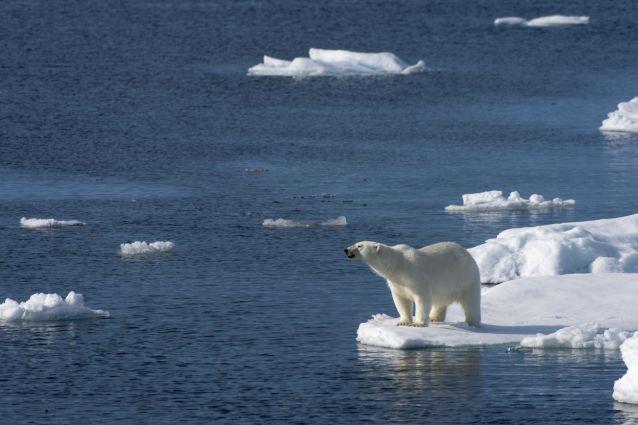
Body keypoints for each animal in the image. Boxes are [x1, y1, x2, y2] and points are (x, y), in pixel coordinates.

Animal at [348, 240, 482, 326]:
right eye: (356, 243)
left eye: (359, 245)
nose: (346, 250)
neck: (398, 265)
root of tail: (467, 253)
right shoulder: (397, 282)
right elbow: (401, 300)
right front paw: (403, 322)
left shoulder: (415, 276)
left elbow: (422, 298)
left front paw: (418, 323)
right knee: (440, 301)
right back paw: (434, 318)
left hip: (466, 277)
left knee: (471, 301)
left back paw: (472, 321)